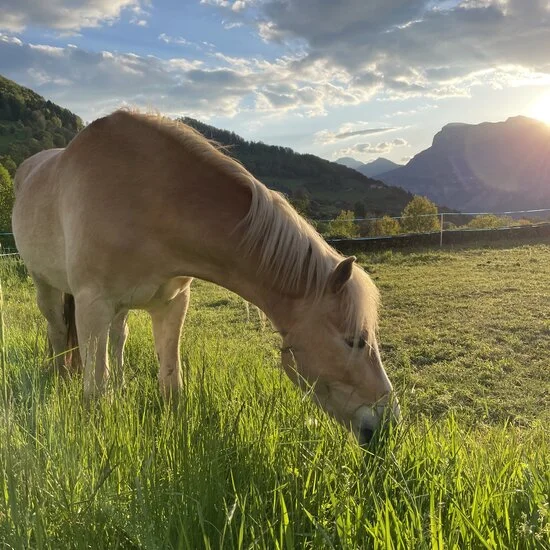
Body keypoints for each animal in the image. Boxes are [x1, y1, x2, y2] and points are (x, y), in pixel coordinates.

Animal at [12, 110, 402, 446]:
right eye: (355, 341)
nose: (389, 423)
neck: (146, 194)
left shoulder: (170, 304)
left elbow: (170, 385)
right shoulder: (92, 303)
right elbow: (95, 392)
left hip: (119, 306)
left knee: (118, 337)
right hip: (46, 286)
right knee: (58, 331)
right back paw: (59, 378)